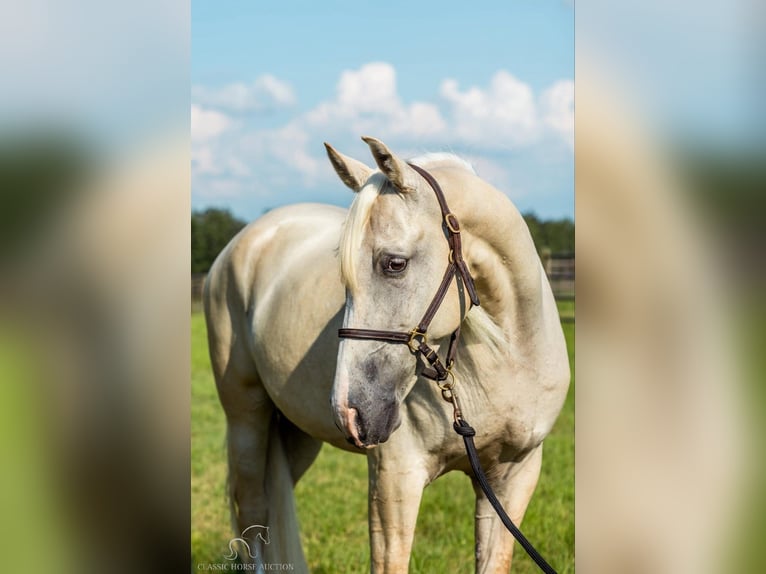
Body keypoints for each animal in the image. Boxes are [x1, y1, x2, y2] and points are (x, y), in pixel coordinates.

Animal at [202, 137, 568, 572]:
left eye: (394, 264)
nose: (349, 411)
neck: (508, 360)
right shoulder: (396, 478)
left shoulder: (513, 479)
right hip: (246, 416)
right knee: (253, 511)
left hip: (295, 431)